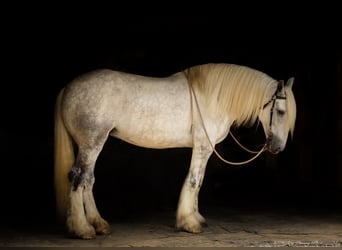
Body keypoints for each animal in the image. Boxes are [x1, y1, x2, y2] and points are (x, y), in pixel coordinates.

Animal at [54, 62, 296, 238]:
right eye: (281, 111)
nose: (278, 147)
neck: (214, 98)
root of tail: (68, 87)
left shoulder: (205, 149)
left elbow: (199, 181)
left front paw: (196, 218)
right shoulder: (202, 146)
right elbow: (194, 180)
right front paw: (189, 223)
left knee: (88, 180)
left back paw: (98, 224)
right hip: (92, 143)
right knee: (78, 178)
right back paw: (82, 229)